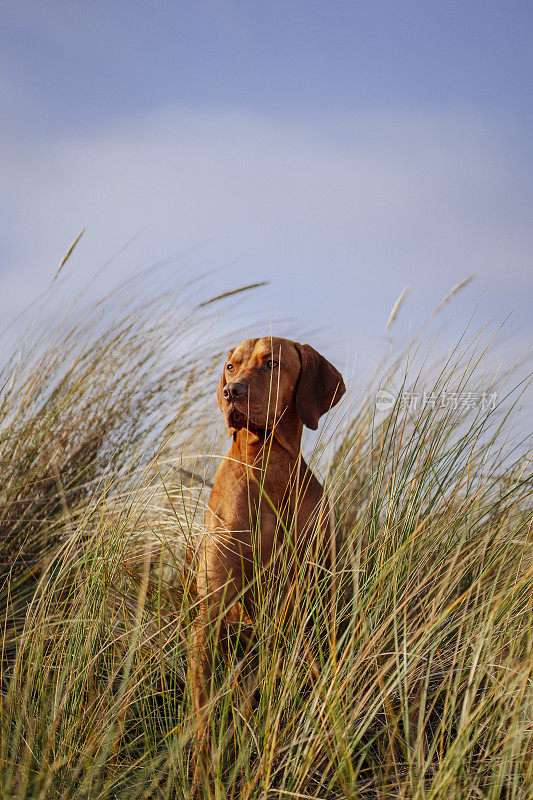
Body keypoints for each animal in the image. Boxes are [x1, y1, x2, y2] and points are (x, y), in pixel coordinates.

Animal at [189, 338, 342, 780]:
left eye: (271, 364)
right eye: (231, 367)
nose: (231, 392)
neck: (267, 465)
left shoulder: (312, 599)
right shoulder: (211, 613)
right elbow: (203, 712)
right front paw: (202, 773)